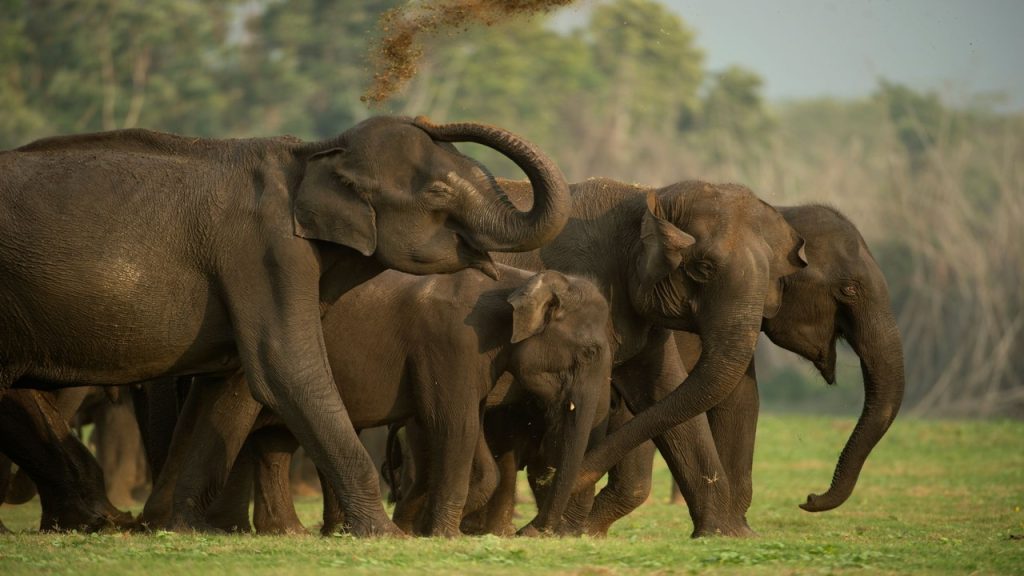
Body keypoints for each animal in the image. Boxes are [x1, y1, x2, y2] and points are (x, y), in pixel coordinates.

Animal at [0, 114, 573, 537]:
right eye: (436, 195)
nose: (430, 117)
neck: (312, 154)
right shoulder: (264, 252)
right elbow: (284, 368)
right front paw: (385, 536)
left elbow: (234, 382)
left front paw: (179, 527)